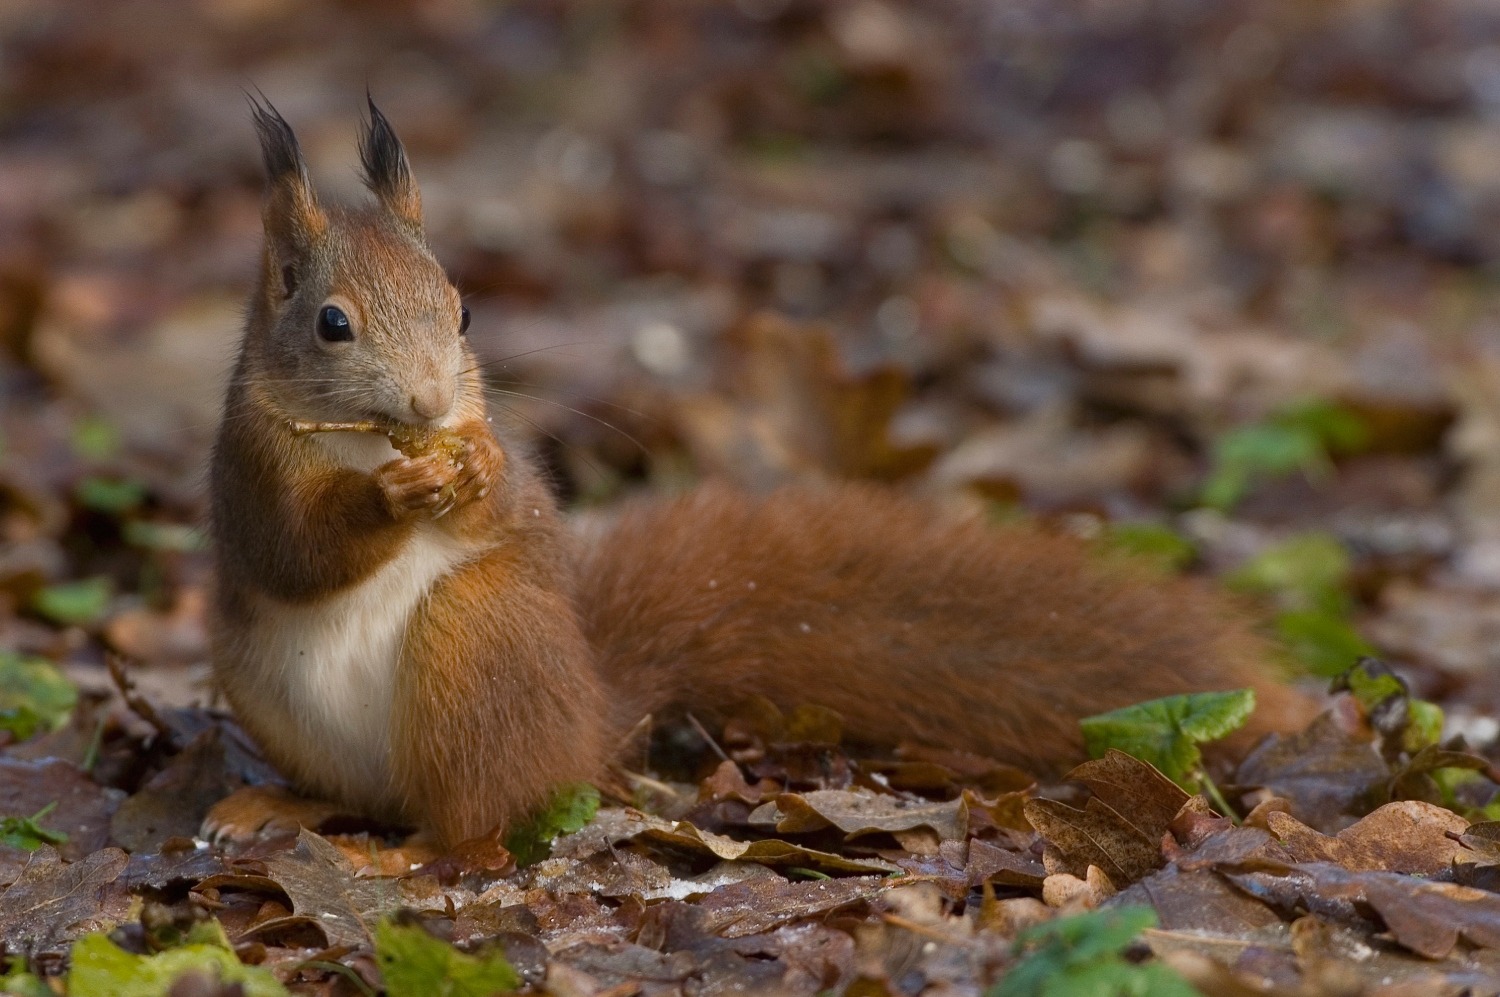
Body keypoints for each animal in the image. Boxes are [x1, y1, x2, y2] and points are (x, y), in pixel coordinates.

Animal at [202, 97, 1314, 845]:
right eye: (331, 323)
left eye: (464, 309)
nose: (433, 407)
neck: (366, 438)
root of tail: (588, 720)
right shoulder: (250, 465)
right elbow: (294, 547)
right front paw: (387, 495)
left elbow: (514, 506)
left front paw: (470, 467)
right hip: (267, 693)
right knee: (365, 802)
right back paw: (272, 801)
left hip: (477, 643)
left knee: (470, 819)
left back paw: (415, 849)